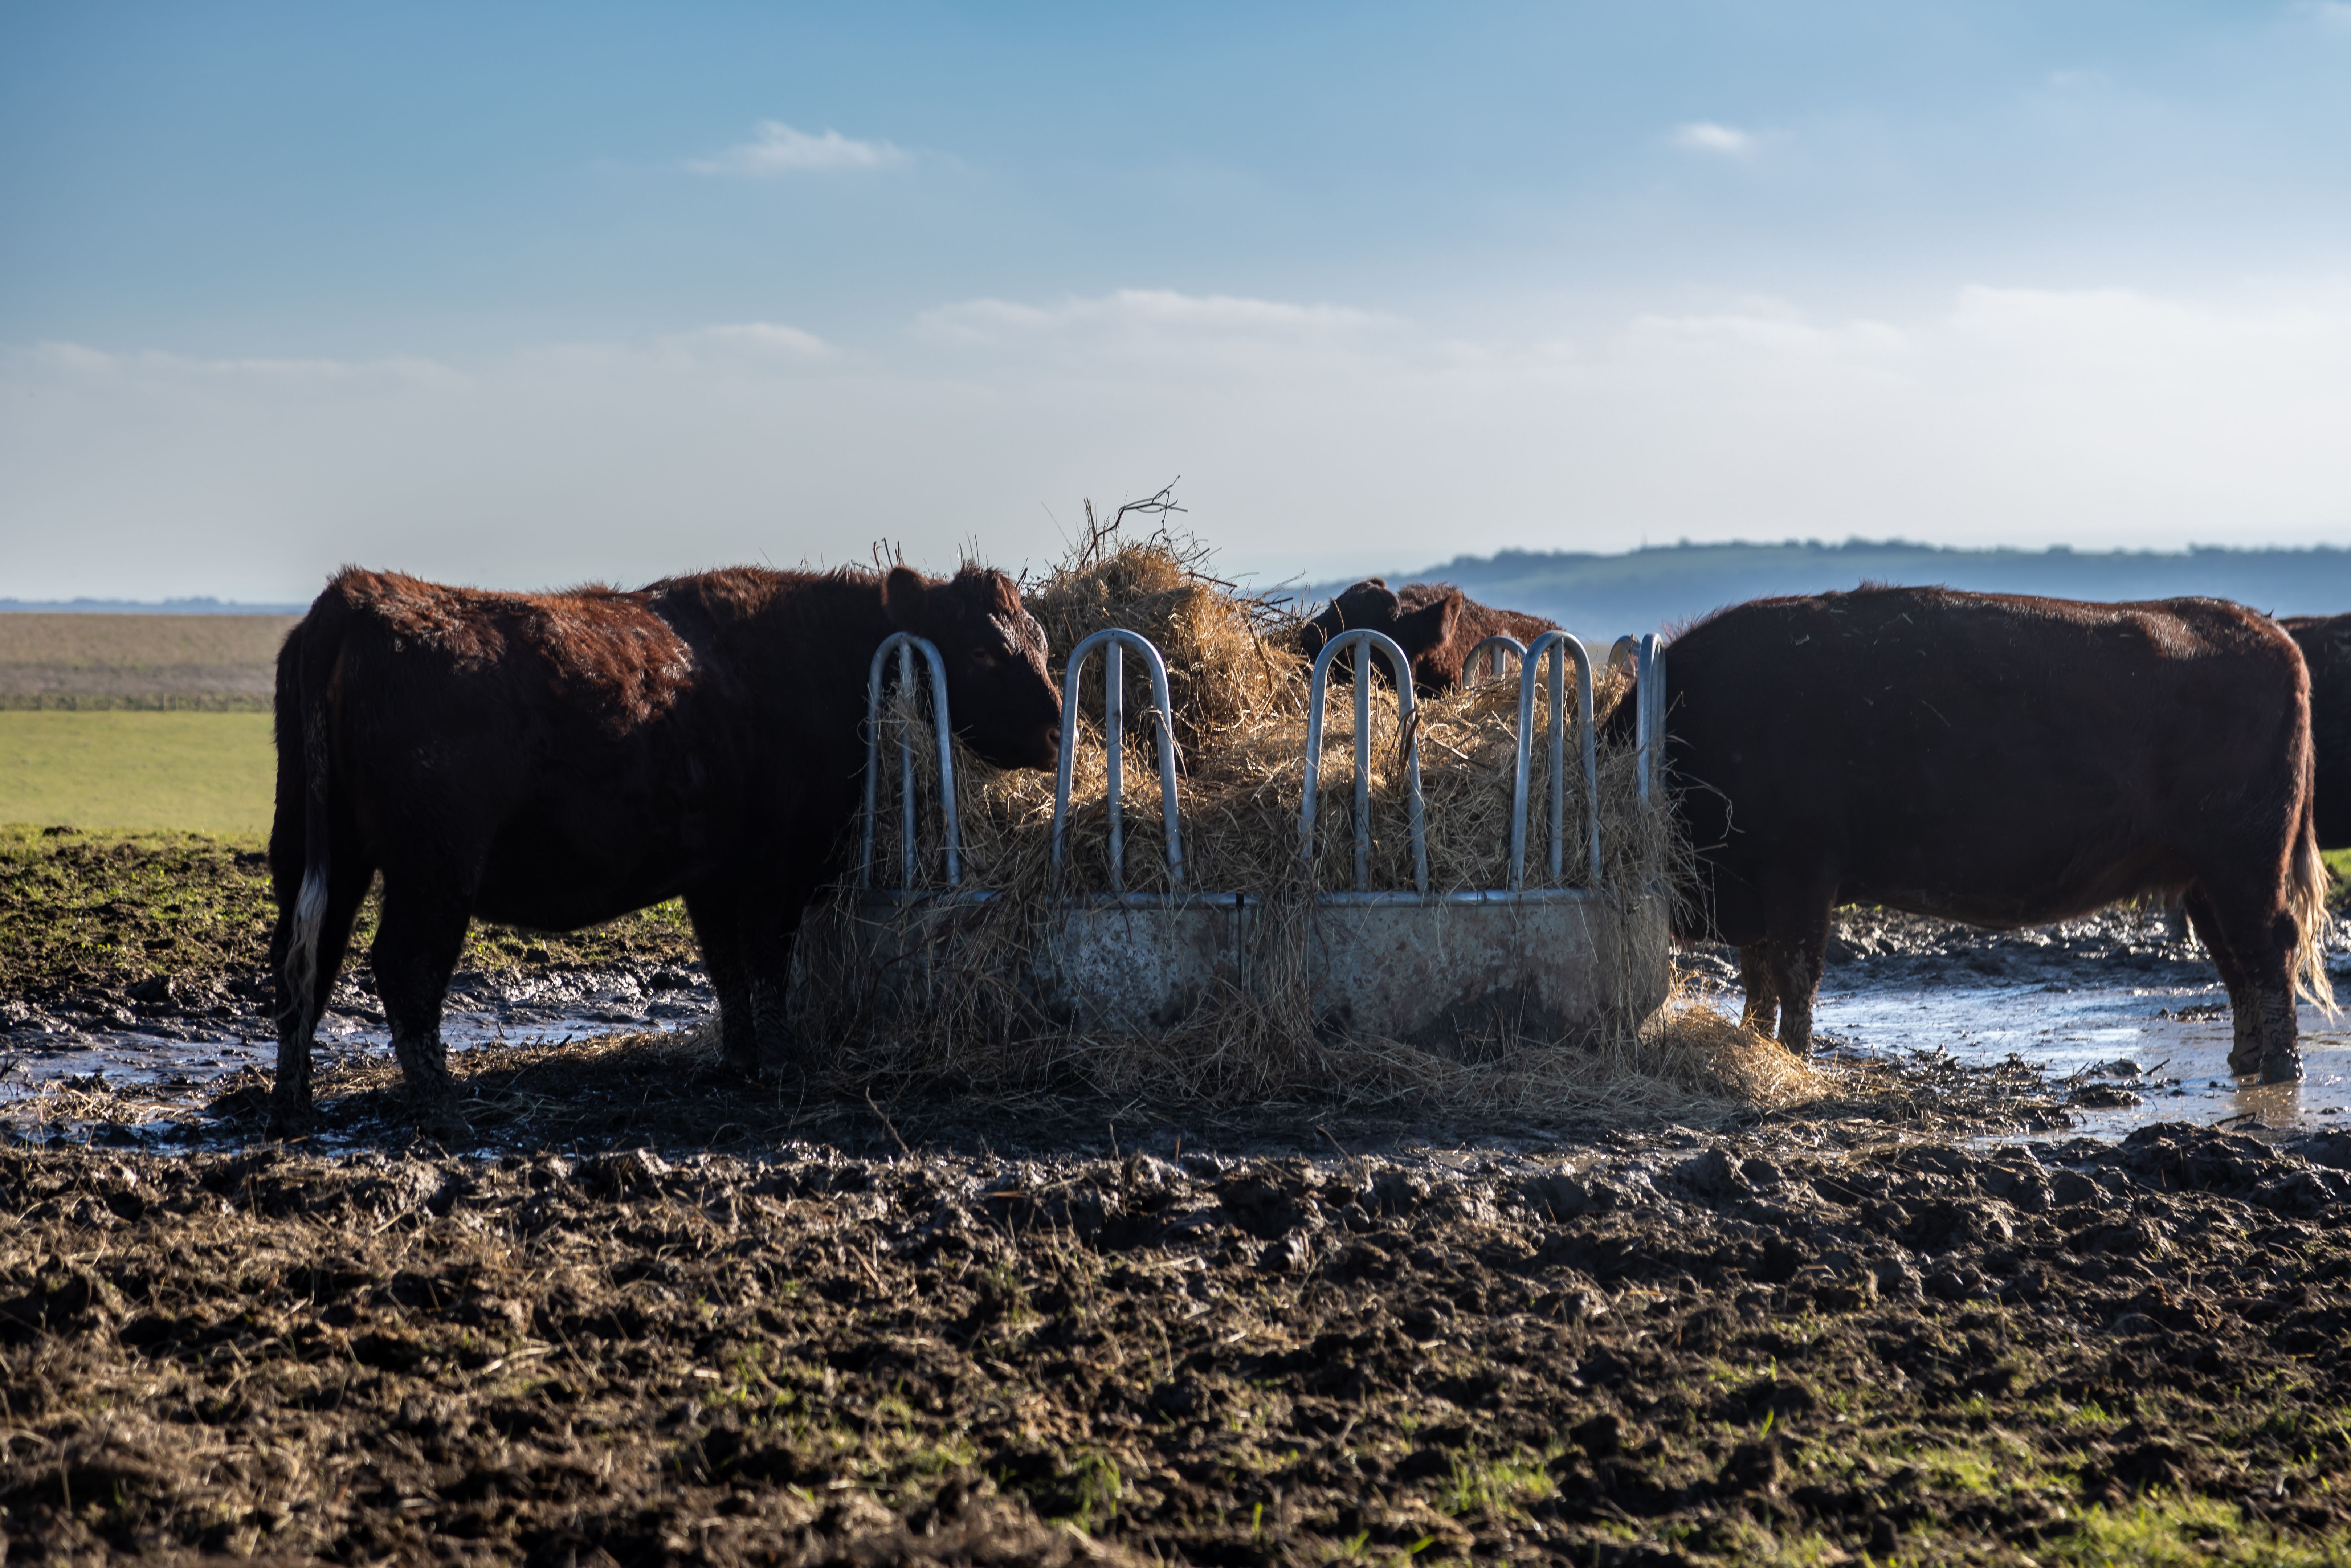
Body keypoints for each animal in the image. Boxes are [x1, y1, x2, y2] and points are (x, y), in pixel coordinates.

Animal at [266, 563, 1061, 1136]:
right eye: (986, 650)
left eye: (1044, 643)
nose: (1060, 730)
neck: (810, 658)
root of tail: (361, 593)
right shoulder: (777, 869)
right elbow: (766, 965)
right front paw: (782, 1065)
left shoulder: (713, 874)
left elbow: (728, 969)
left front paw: (741, 1061)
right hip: (435, 867)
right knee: (403, 968)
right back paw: (442, 1108)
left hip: (318, 852)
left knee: (302, 963)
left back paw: (292, 1104)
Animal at [1612, 586, 2333, 1083]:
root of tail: (2271, 635)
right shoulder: (1765, 891)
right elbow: (1759, 976)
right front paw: (1757, 1043)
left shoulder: (1799, 874)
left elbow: (1793, 974)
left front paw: (1791, 1054)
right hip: (2203, 877)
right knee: (2235, 958)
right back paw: (2245, 1059)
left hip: (2244, 864)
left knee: (2271, 948)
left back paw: (2279, 1068)